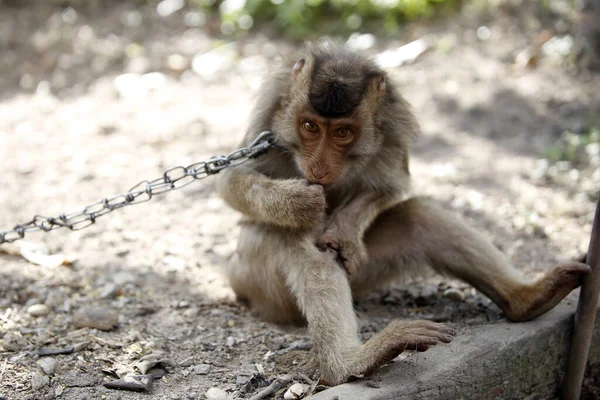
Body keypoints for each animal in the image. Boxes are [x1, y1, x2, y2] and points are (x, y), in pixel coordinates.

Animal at [213, 42, 588, 386]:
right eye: (310, 127)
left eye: (342, 132)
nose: (318, 167)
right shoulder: (269, 111)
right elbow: (232, 181)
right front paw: (298, 203)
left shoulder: (392, 121)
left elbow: (390, 185)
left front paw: (345, 230)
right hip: (258, 279)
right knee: (301, 245)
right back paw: (348, 364)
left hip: (365, 275)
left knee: (420, 217)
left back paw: (530, 298)